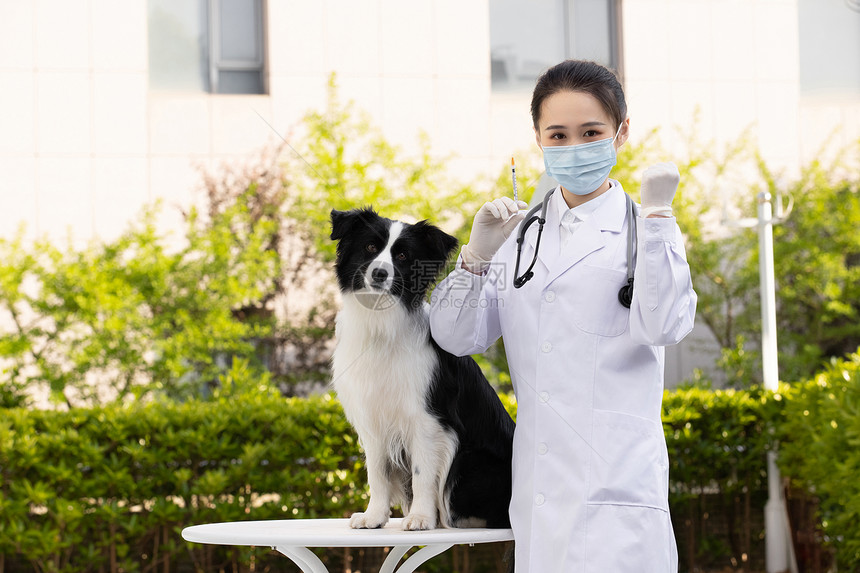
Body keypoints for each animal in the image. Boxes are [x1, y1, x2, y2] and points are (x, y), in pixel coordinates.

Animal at [330, 208, 512, 528]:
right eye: (370, 247)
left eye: (403, 256)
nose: (380, 273)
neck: (382, 325)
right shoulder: (372, 420)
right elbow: (377, 473)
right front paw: (374, 517)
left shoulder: (428, 420)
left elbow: (422, 474)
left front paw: (421, 518)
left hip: (470, 461)